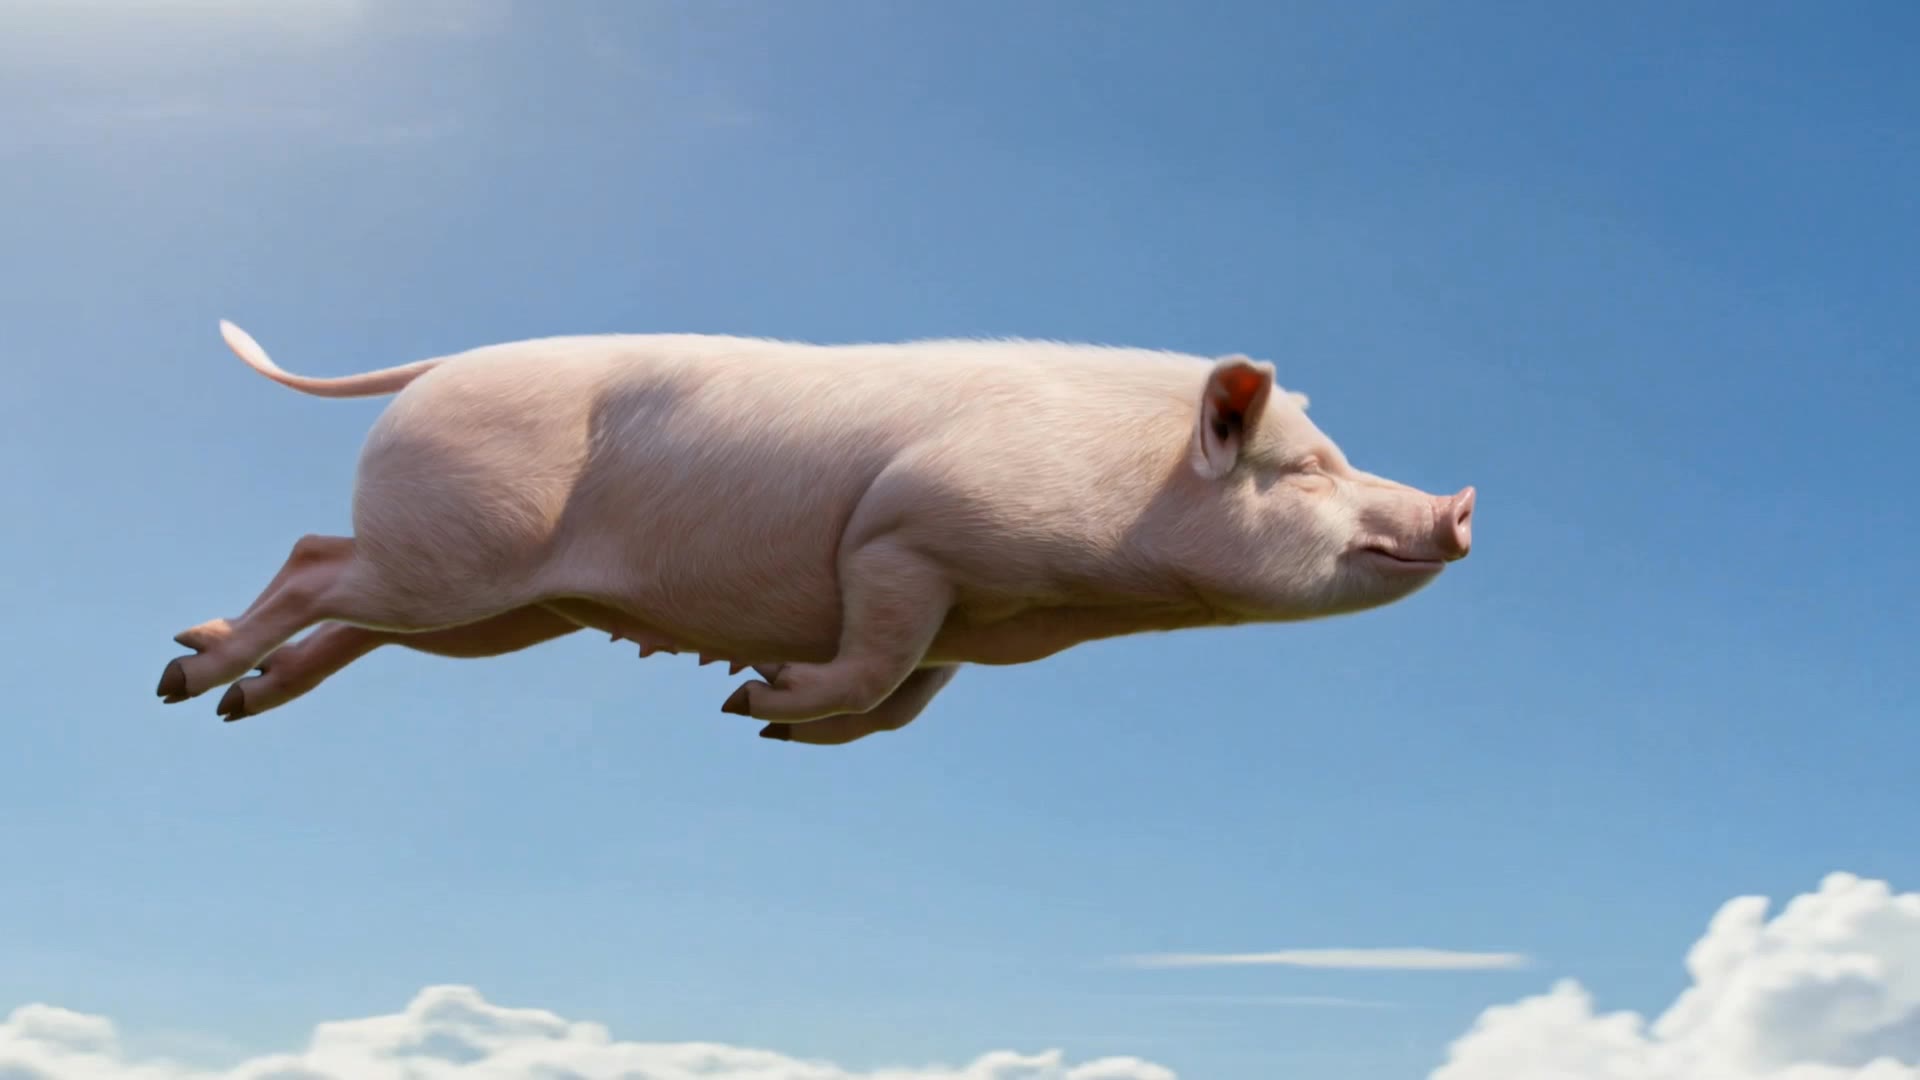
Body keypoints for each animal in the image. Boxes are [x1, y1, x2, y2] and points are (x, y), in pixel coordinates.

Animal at [157, 320, 1474, 746]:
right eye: (1307, 470)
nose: (1460, 506)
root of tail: (438, 366)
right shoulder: (907, 541)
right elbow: (880, 661)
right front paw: (757, 700)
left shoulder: (961, 615)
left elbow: (903, 699)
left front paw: (773, 720)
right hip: (462, 553)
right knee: (316, 562)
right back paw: (187, 676)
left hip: (494, 607)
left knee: (355, 621)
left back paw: (232, 704)